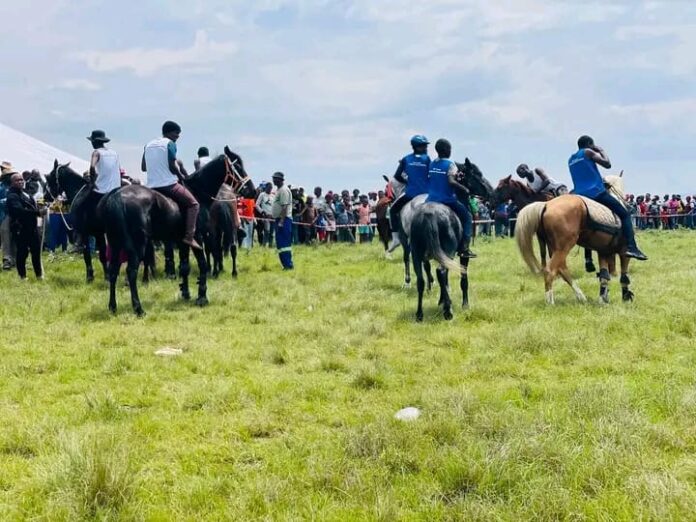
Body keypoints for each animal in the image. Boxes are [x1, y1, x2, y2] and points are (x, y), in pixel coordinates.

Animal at [100, 147, 256, 316]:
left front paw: (186, 293)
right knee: (131, 271)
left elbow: (184, 267)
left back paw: (112, 306)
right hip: (138, 244)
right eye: (238, 166)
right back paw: (138, 308)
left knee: (113, 270)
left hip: (115, 243)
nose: (252, 190)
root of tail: (116, 197)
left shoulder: (182, 241)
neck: (198, 193)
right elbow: (202, 264)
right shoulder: (197, 237)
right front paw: (202, 297)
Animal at [512, 175, 632, 304]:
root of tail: (546, 205)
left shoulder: (603, 251)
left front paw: (603, 298)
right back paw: (551, 301)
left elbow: (604, 275)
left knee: (561, 269)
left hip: (554, 246)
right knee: (551, 270)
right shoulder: (624, 252)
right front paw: (626, 296)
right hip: (564, 246)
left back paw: (580, 296)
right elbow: (623, 275)